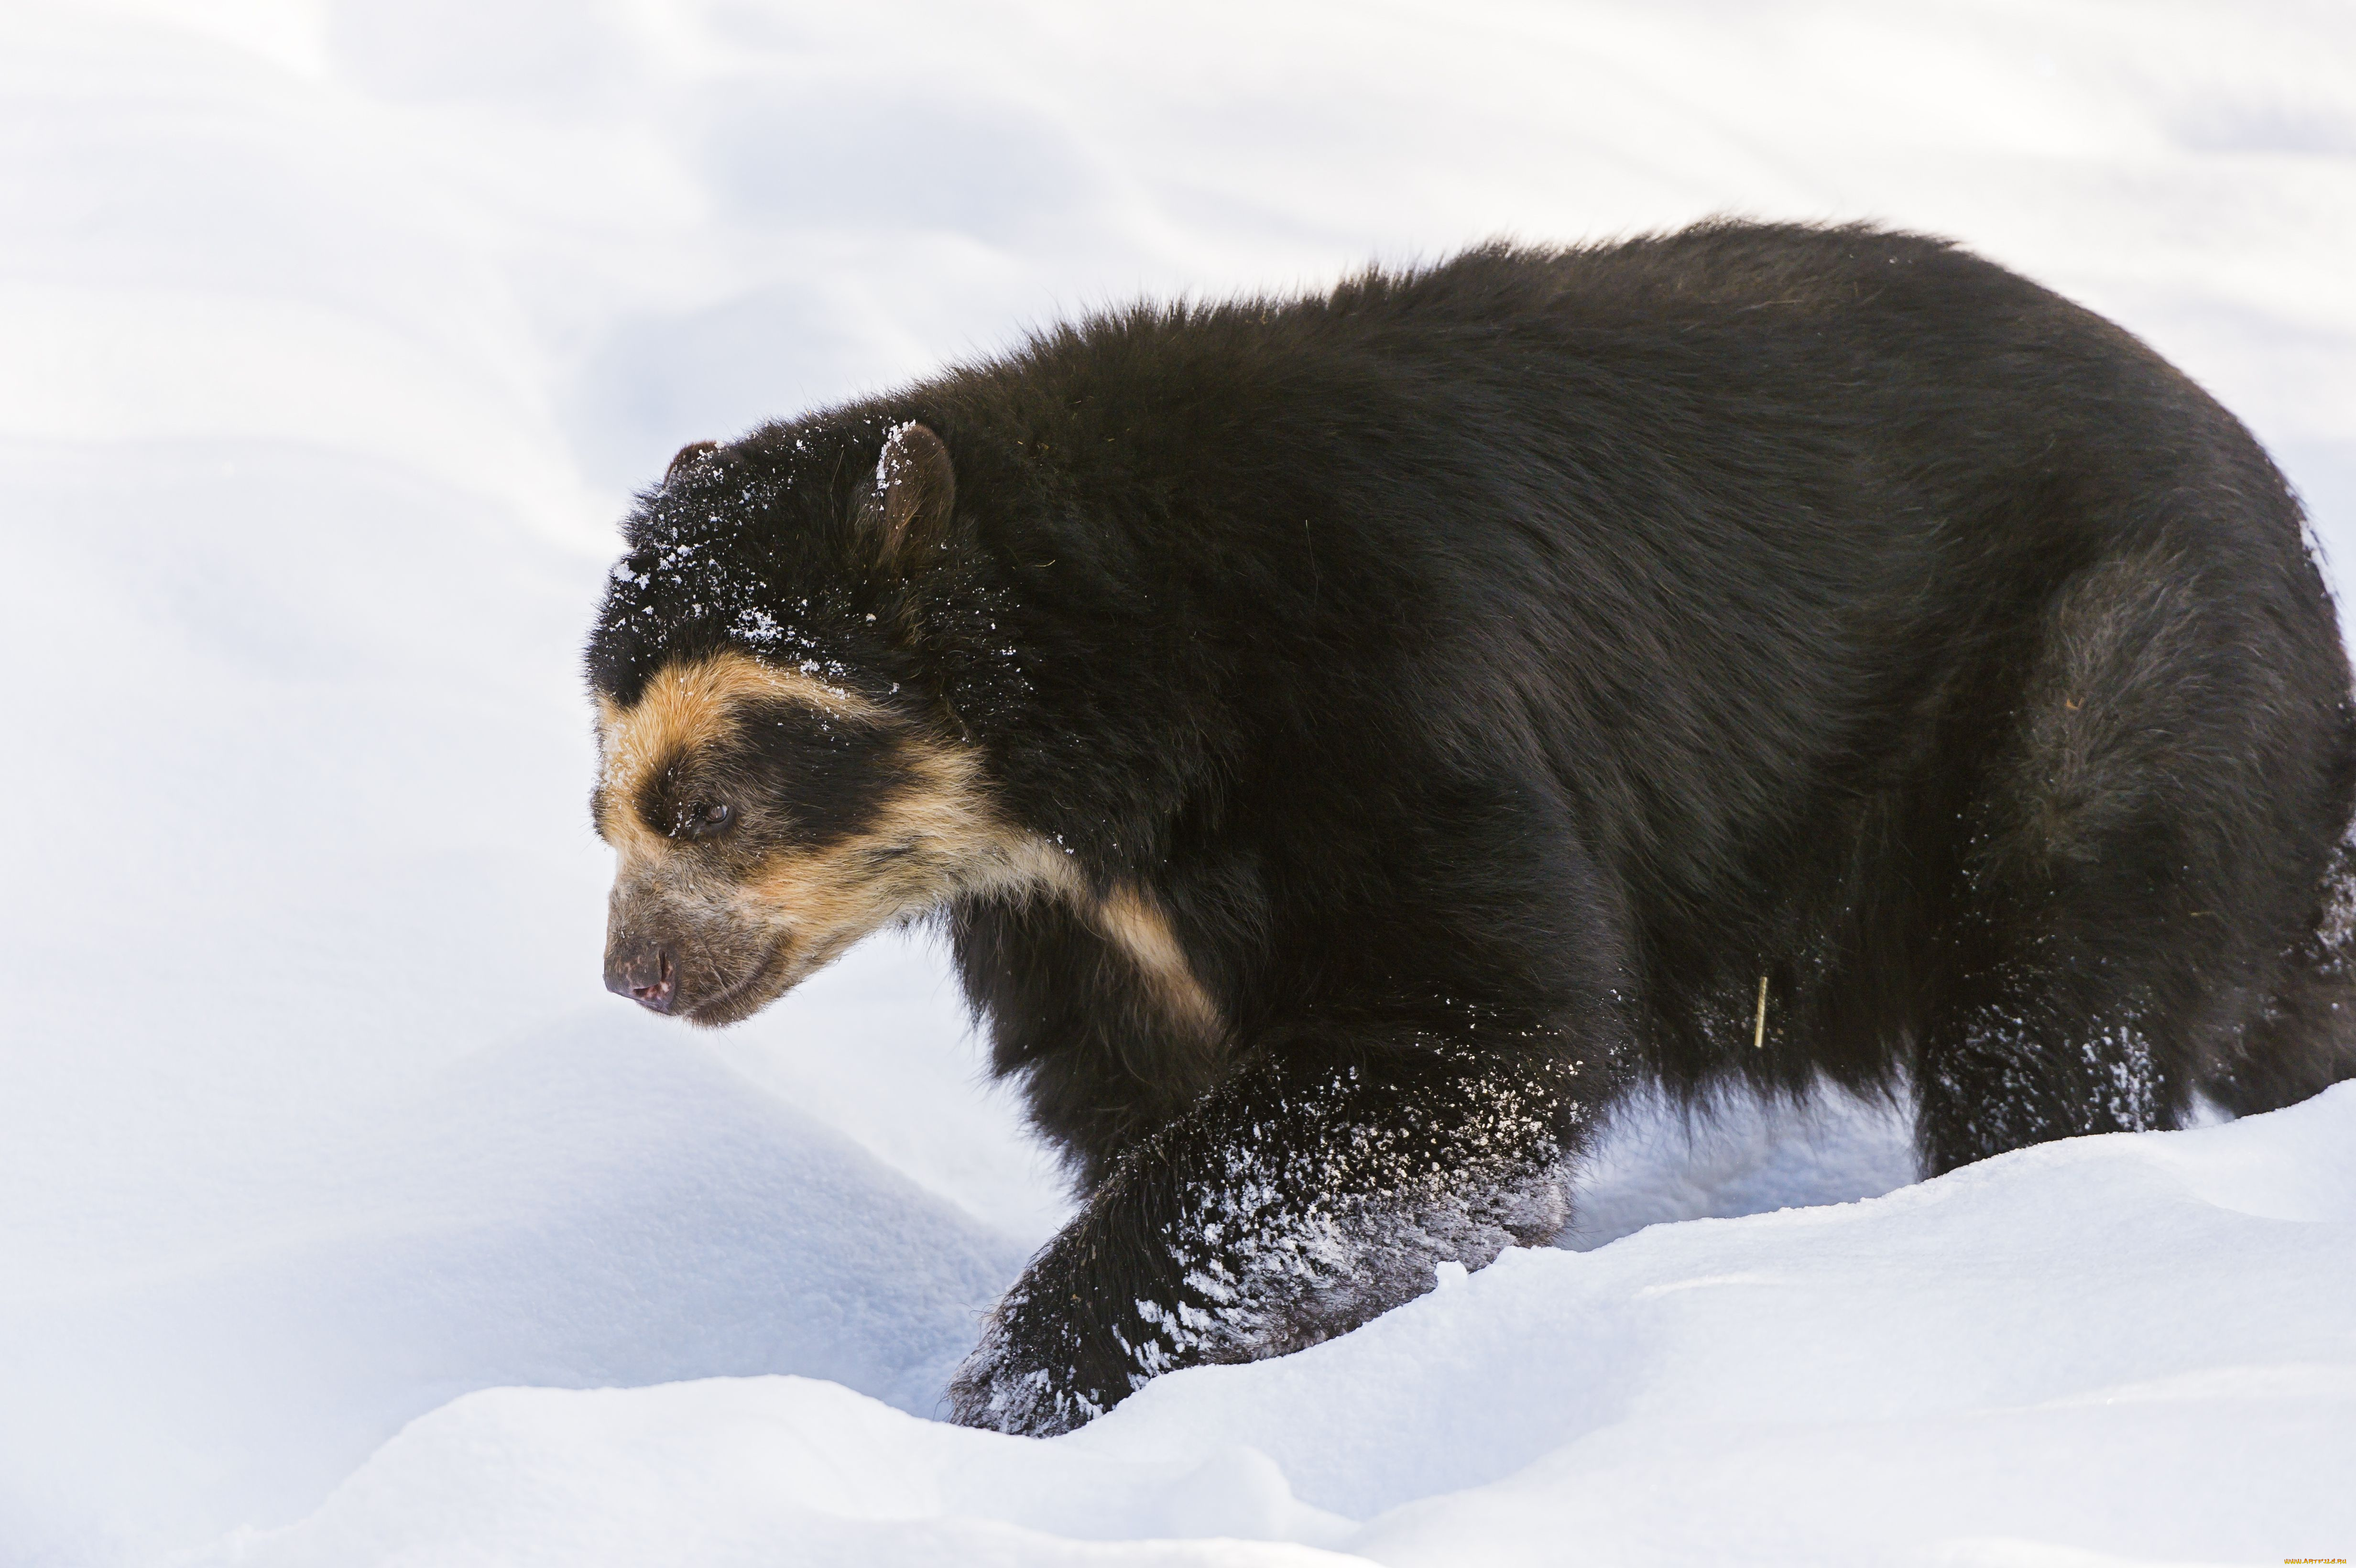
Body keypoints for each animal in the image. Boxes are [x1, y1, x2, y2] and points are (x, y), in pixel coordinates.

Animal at [579, 217, 2356, 1431]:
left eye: (707, 800)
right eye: (600, 806)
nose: (634, 976)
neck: (1093, 779)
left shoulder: (1386, 712)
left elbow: (1460, 1025)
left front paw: (1028, 1385)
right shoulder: (1081, 932)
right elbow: (1161, 1105)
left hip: (2110, 678)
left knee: (2056, 1004)